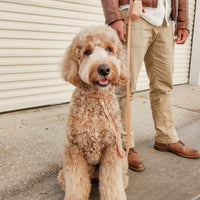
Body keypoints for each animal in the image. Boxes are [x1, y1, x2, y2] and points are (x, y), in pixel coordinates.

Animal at [57, 25, 129, 200]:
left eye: (109, 49)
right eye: (87, 52)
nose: (104, 68)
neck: (97, 99)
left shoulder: (112, 148)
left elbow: (112, 182)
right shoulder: (73, 148)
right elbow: (76, 184)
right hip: (63, 174)